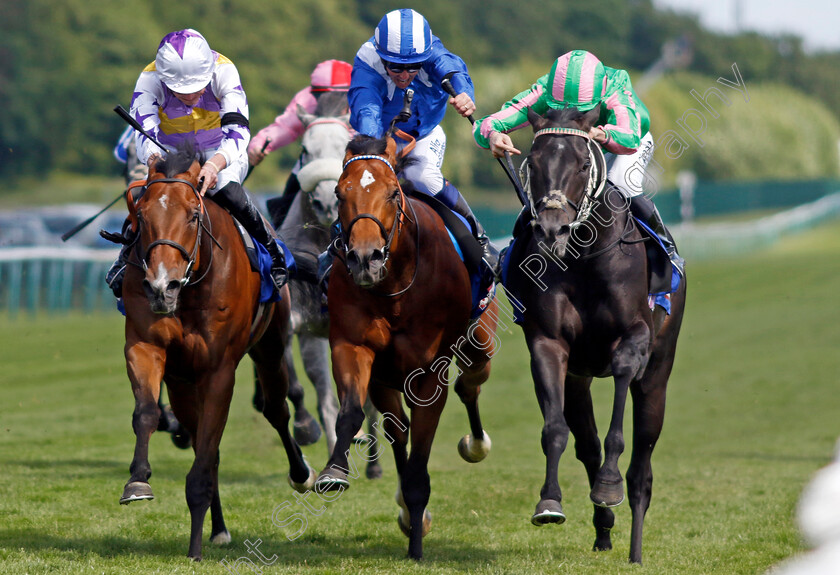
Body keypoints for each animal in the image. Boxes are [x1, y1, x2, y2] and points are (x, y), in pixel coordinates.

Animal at [117, 145, 316, 564]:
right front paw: (138, 481)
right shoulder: (146, 346)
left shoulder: (220, 370)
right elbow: (147, 414)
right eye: (141, 214)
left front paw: (194, 549)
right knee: (202, 444)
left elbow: (207, 456)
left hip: (270, 346)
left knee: (276, 410)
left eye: (193, 214)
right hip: (182, 380)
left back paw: (301, 473)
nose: (161, 286)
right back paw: (219, 528)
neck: (191, 287)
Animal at [314, 135, 498, 560]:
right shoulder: (354, 346)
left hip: (478, 338)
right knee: (397, 429)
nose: (365, 258)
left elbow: (421, 458)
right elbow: (351, 412)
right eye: (340, 192)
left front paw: (416, 544)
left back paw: (476, 443)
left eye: (393, 194)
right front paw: (334, 472)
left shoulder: (430, 375)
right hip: (386, 380)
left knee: (471, 381)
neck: (396, 284)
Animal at [502, 106, 684, 564]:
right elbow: (555, 430)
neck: (582, 257)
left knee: (642, 467)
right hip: (578, 379)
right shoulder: (549, 345)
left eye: (584, 164)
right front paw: (549, 502)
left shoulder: (635, 338)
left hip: (658, 375)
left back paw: (634, 546)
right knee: (586, 445)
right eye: (532, 162)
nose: (552, 229)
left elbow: (619, 422)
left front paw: (608, 484)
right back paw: (603, 530)